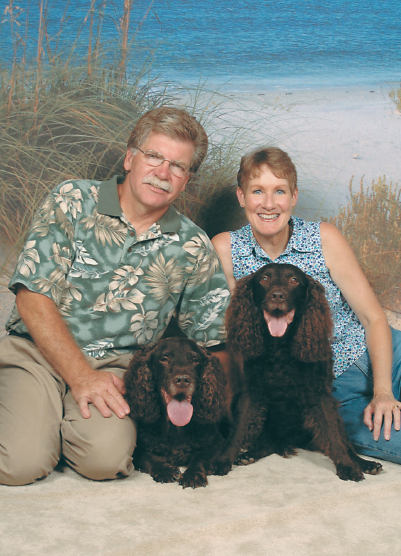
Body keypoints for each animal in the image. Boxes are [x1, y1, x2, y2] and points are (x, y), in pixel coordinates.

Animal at [123, 336, 230, 488]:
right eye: (164, 359)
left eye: (195, 360)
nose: (183, 380)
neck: (176, 427)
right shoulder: (137, 449)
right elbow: (148, 456)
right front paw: (164, 470)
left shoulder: (215, 444)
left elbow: (200, 457)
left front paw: (193, 474)